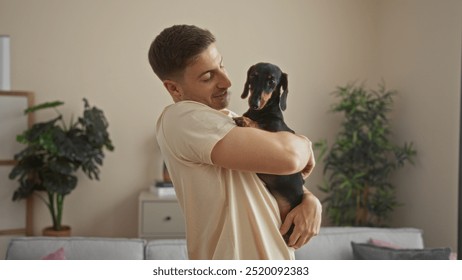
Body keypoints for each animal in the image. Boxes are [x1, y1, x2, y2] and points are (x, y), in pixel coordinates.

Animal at [233, 63, 304, 241]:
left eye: (272, 81)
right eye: (253, 76)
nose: (254, 103)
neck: (260, 113)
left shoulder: (277, 134)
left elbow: (259, 126)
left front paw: (245, 121)